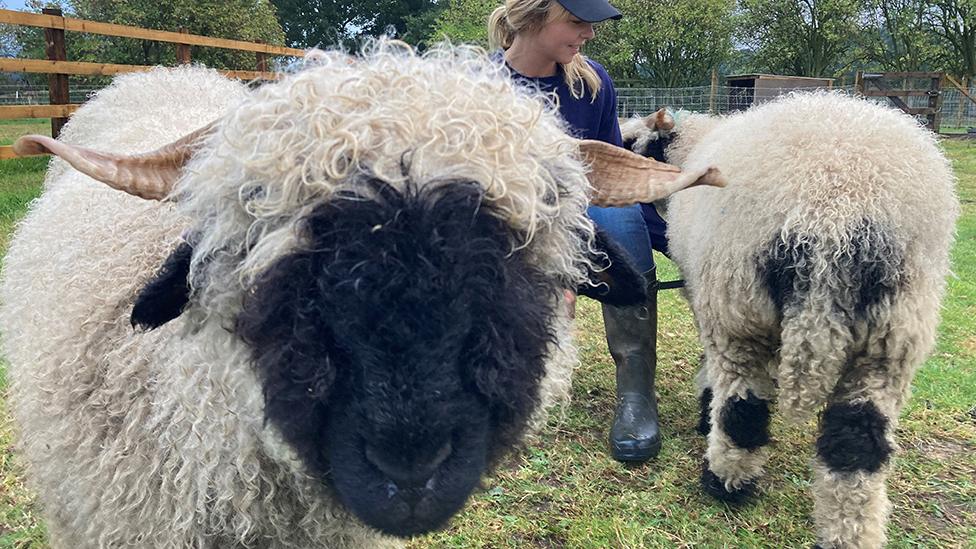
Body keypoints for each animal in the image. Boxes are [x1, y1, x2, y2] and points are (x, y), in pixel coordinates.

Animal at [620, 92, 956, 544]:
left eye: (631, 142)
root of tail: (836, 215)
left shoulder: (707, 302)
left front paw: (705, 409)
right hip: (892, 333)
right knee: (856, 445)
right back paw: (848, 535)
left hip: (738, 308)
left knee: (742, 410)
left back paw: (725, 483)